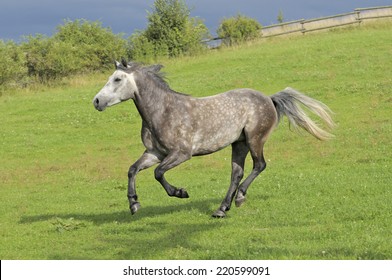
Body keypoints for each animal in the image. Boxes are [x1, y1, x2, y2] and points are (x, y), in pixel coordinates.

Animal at [92, 59, 334, 219]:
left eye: (117, 79)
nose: (96, 101)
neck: (163, 111)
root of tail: (268, 98)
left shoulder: (182, 154)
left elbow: (158, 173)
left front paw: (180, 193)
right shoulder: (155, 153)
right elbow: (132, 169)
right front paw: (134, 204)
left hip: (254, 140)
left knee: (259, 165)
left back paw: (239, 198)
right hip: (239, 144)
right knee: (237, 173)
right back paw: (221, 208)